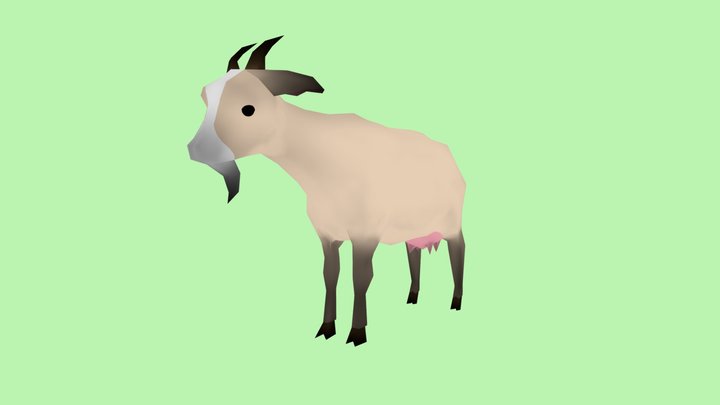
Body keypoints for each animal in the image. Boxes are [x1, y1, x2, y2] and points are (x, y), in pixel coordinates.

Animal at [187, 36, 466, 346]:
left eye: (248, 108)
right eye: (206, 100)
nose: (196, 149)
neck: (322, 165)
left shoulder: (365, 234)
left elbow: (361, 278)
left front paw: (357, 331)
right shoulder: (327, 235)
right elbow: (329, 275)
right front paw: (327, 326)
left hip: (452, 224)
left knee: (459, 254)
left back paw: (456, 301)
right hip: (413, 228)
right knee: (413, 253)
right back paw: (413, 296)